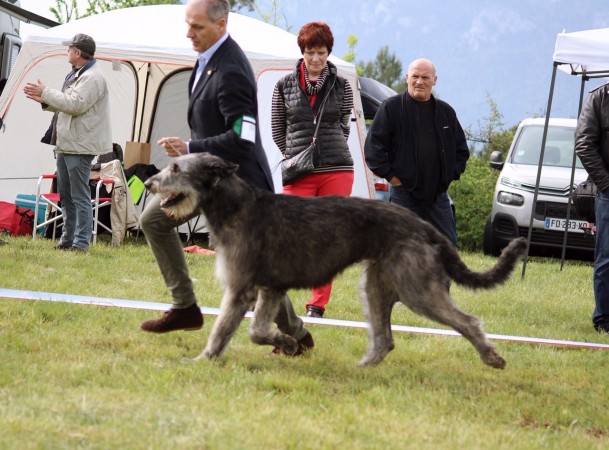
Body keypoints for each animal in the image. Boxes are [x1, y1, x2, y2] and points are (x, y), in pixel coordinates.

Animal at [145, 153, 524, 368]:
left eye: (177, 167)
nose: (148, 182)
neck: (235, 206)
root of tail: (425, 227)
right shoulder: (271, 288)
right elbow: (257, 330)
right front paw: (287, 342)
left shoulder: (242, 288)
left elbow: (224, 329)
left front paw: (201, 360)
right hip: (377, 284)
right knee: (385, 339)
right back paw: (363, 367)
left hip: (416, 286)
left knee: (467, 320)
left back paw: (492, 357)